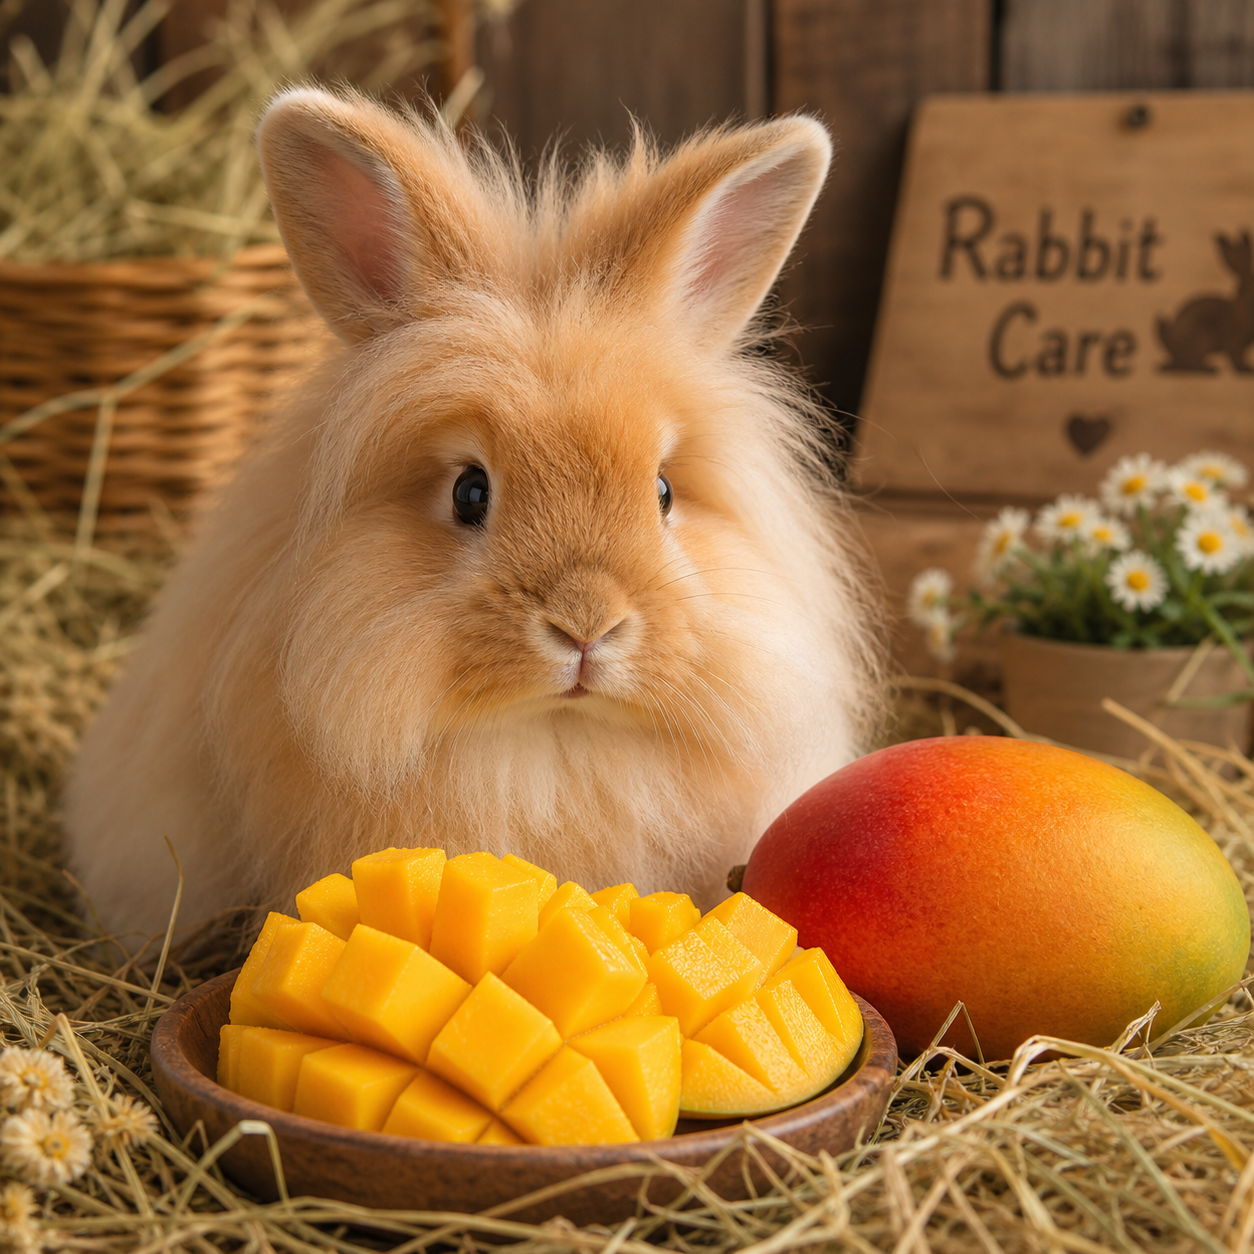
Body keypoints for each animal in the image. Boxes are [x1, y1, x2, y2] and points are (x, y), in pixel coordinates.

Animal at [1157, 231, 1254, 373]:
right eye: (1247, 285)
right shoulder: (1235, 342)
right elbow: (1237, 357)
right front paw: (1246, 370)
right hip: (1203, 340)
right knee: (1188, 364)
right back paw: (1210, 369)